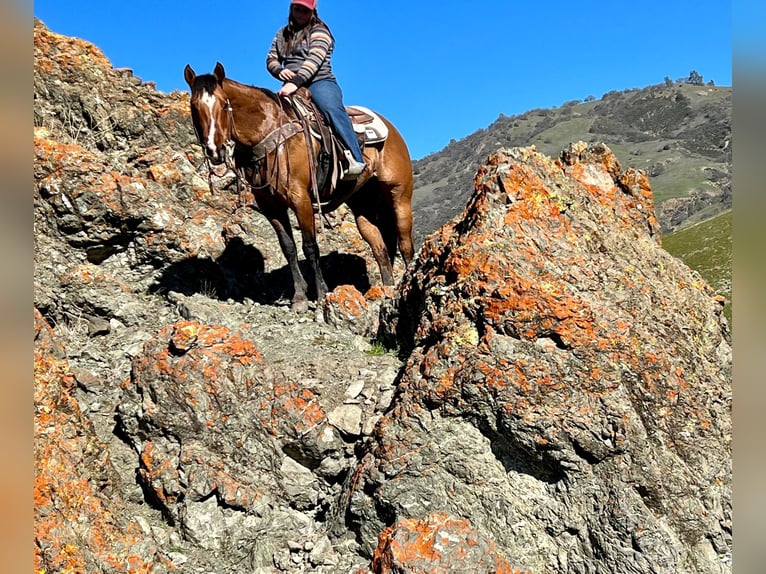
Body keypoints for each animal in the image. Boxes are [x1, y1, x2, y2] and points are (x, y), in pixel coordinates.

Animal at [184, 62, 414, 312]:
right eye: (194, 106)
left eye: (224, 104)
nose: (213, 150)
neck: (270, 133)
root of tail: (392, 130)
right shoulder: (270, 205)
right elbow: (288, 247)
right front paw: (300, 298)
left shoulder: (300, 199)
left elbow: (310, 246)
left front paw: (321, 293)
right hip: (364, 203)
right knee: (380, 248)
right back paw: (387, 290)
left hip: (400, 196)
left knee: (405, 244)